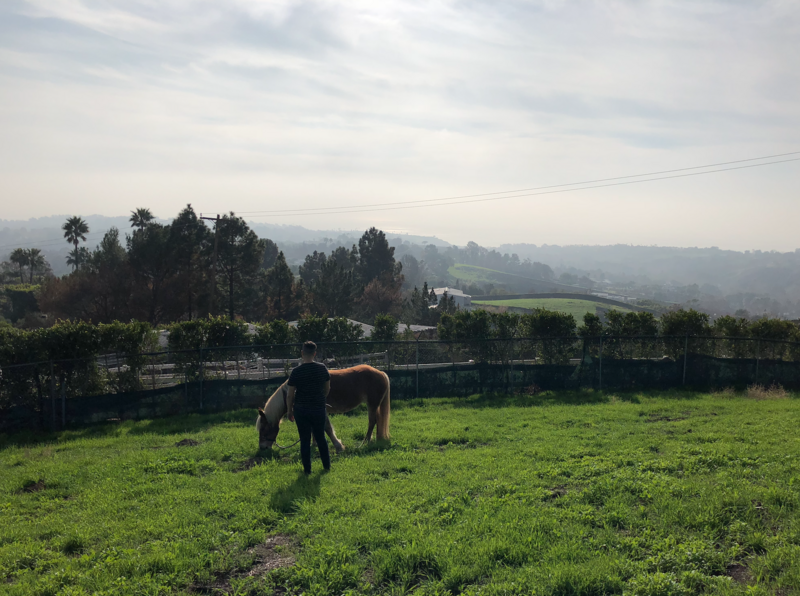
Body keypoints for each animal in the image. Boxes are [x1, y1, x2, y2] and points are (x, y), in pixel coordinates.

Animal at [256, 364, 390, 452]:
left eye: (263, 429)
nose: (263, 448)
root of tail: (381, 373)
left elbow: (327, 428)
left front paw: (338, 446)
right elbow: (313, 429)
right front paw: (314, 444)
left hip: (372, 404)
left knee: (372, 421)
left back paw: (366, 441)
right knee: (377, 421)